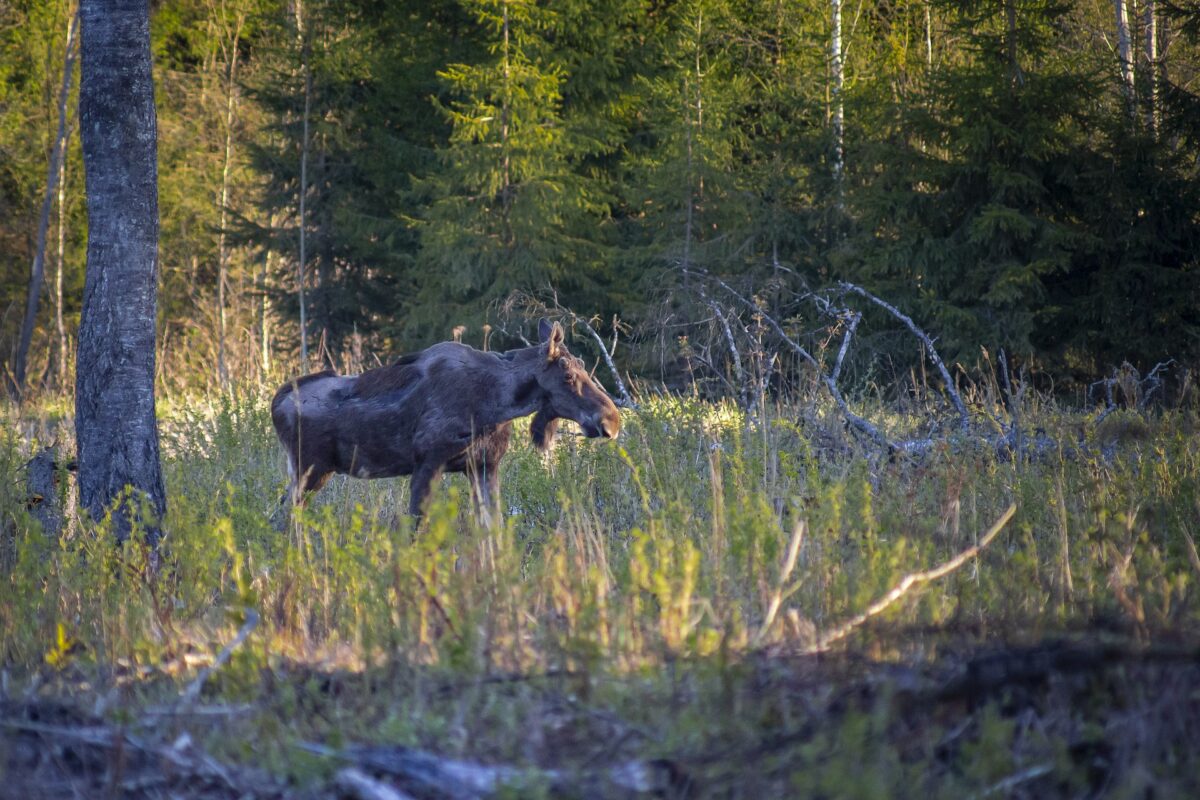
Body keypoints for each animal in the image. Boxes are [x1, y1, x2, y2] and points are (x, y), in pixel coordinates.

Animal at [273, 321, 624, 515]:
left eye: (582, 365)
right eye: (567, 375)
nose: (612, 421)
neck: (497, 403)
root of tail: (275, 405)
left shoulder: (484, 466)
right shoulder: (428, 463)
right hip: (310, 469)